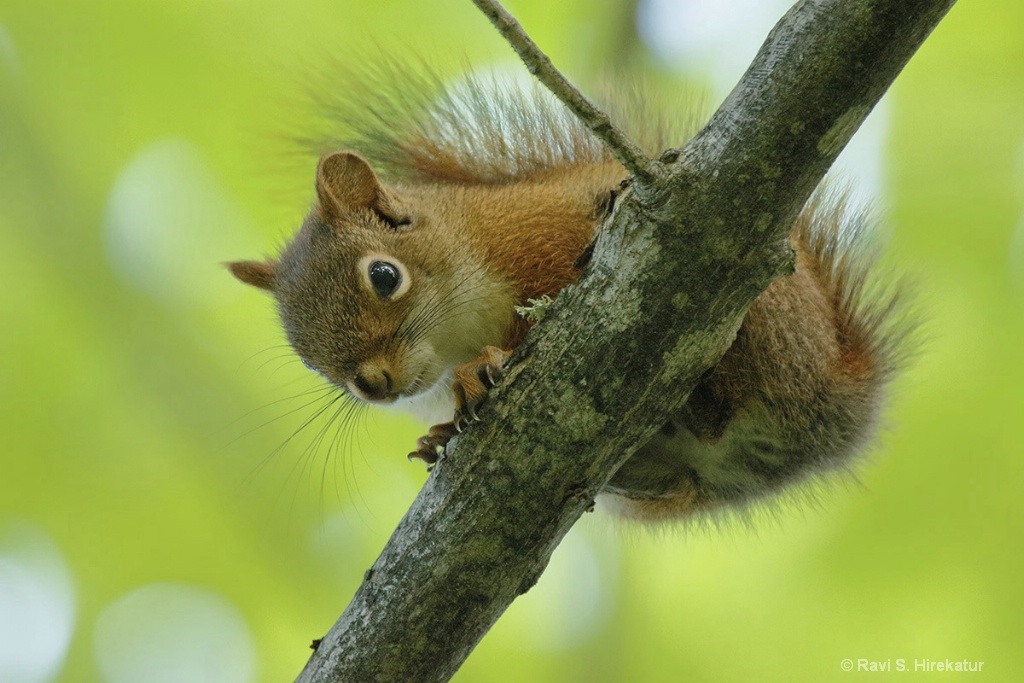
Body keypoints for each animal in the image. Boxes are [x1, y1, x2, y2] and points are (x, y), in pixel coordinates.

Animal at [228, 72, 909, 524]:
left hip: (764, 325)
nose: (371, 385)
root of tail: (835, 394)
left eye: (385, 277)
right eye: (307, 359)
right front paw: (440, 433)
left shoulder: (547, 239)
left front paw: (478, 370)